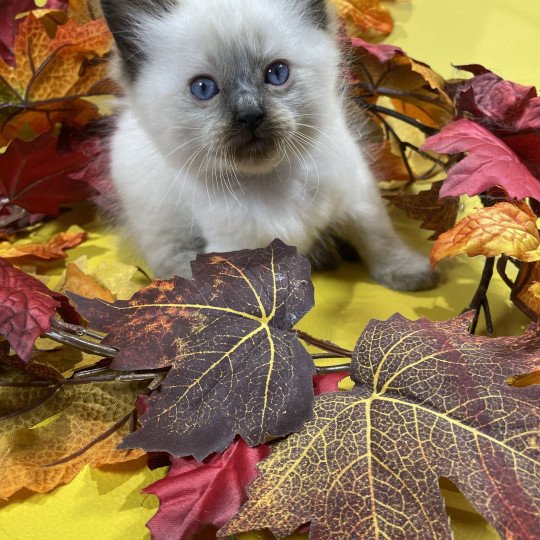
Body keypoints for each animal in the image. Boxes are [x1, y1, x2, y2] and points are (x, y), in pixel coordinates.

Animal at [102, 0, 438, 292]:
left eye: (276, 73)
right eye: (204, 88)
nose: (250, 115)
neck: (272, 182)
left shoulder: (358, 195)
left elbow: (379, 238)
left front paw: (408, 272)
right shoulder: (235, 251)